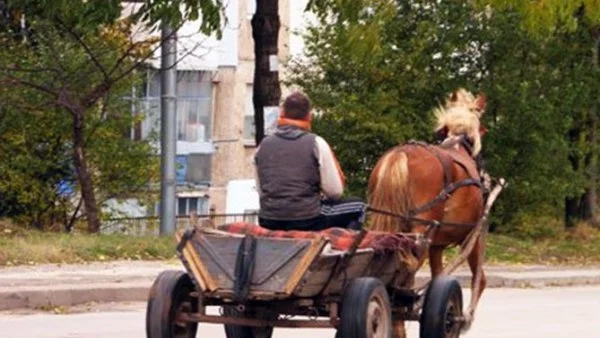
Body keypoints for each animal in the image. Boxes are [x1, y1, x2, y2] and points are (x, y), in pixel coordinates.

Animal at [366, 88, 488, 334]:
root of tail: (401, 154)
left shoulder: (437, 245)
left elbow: (439, 275)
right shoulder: (474, 233)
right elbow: (479, 279)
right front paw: (465, 318)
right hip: (420, 233)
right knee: (406, 274)